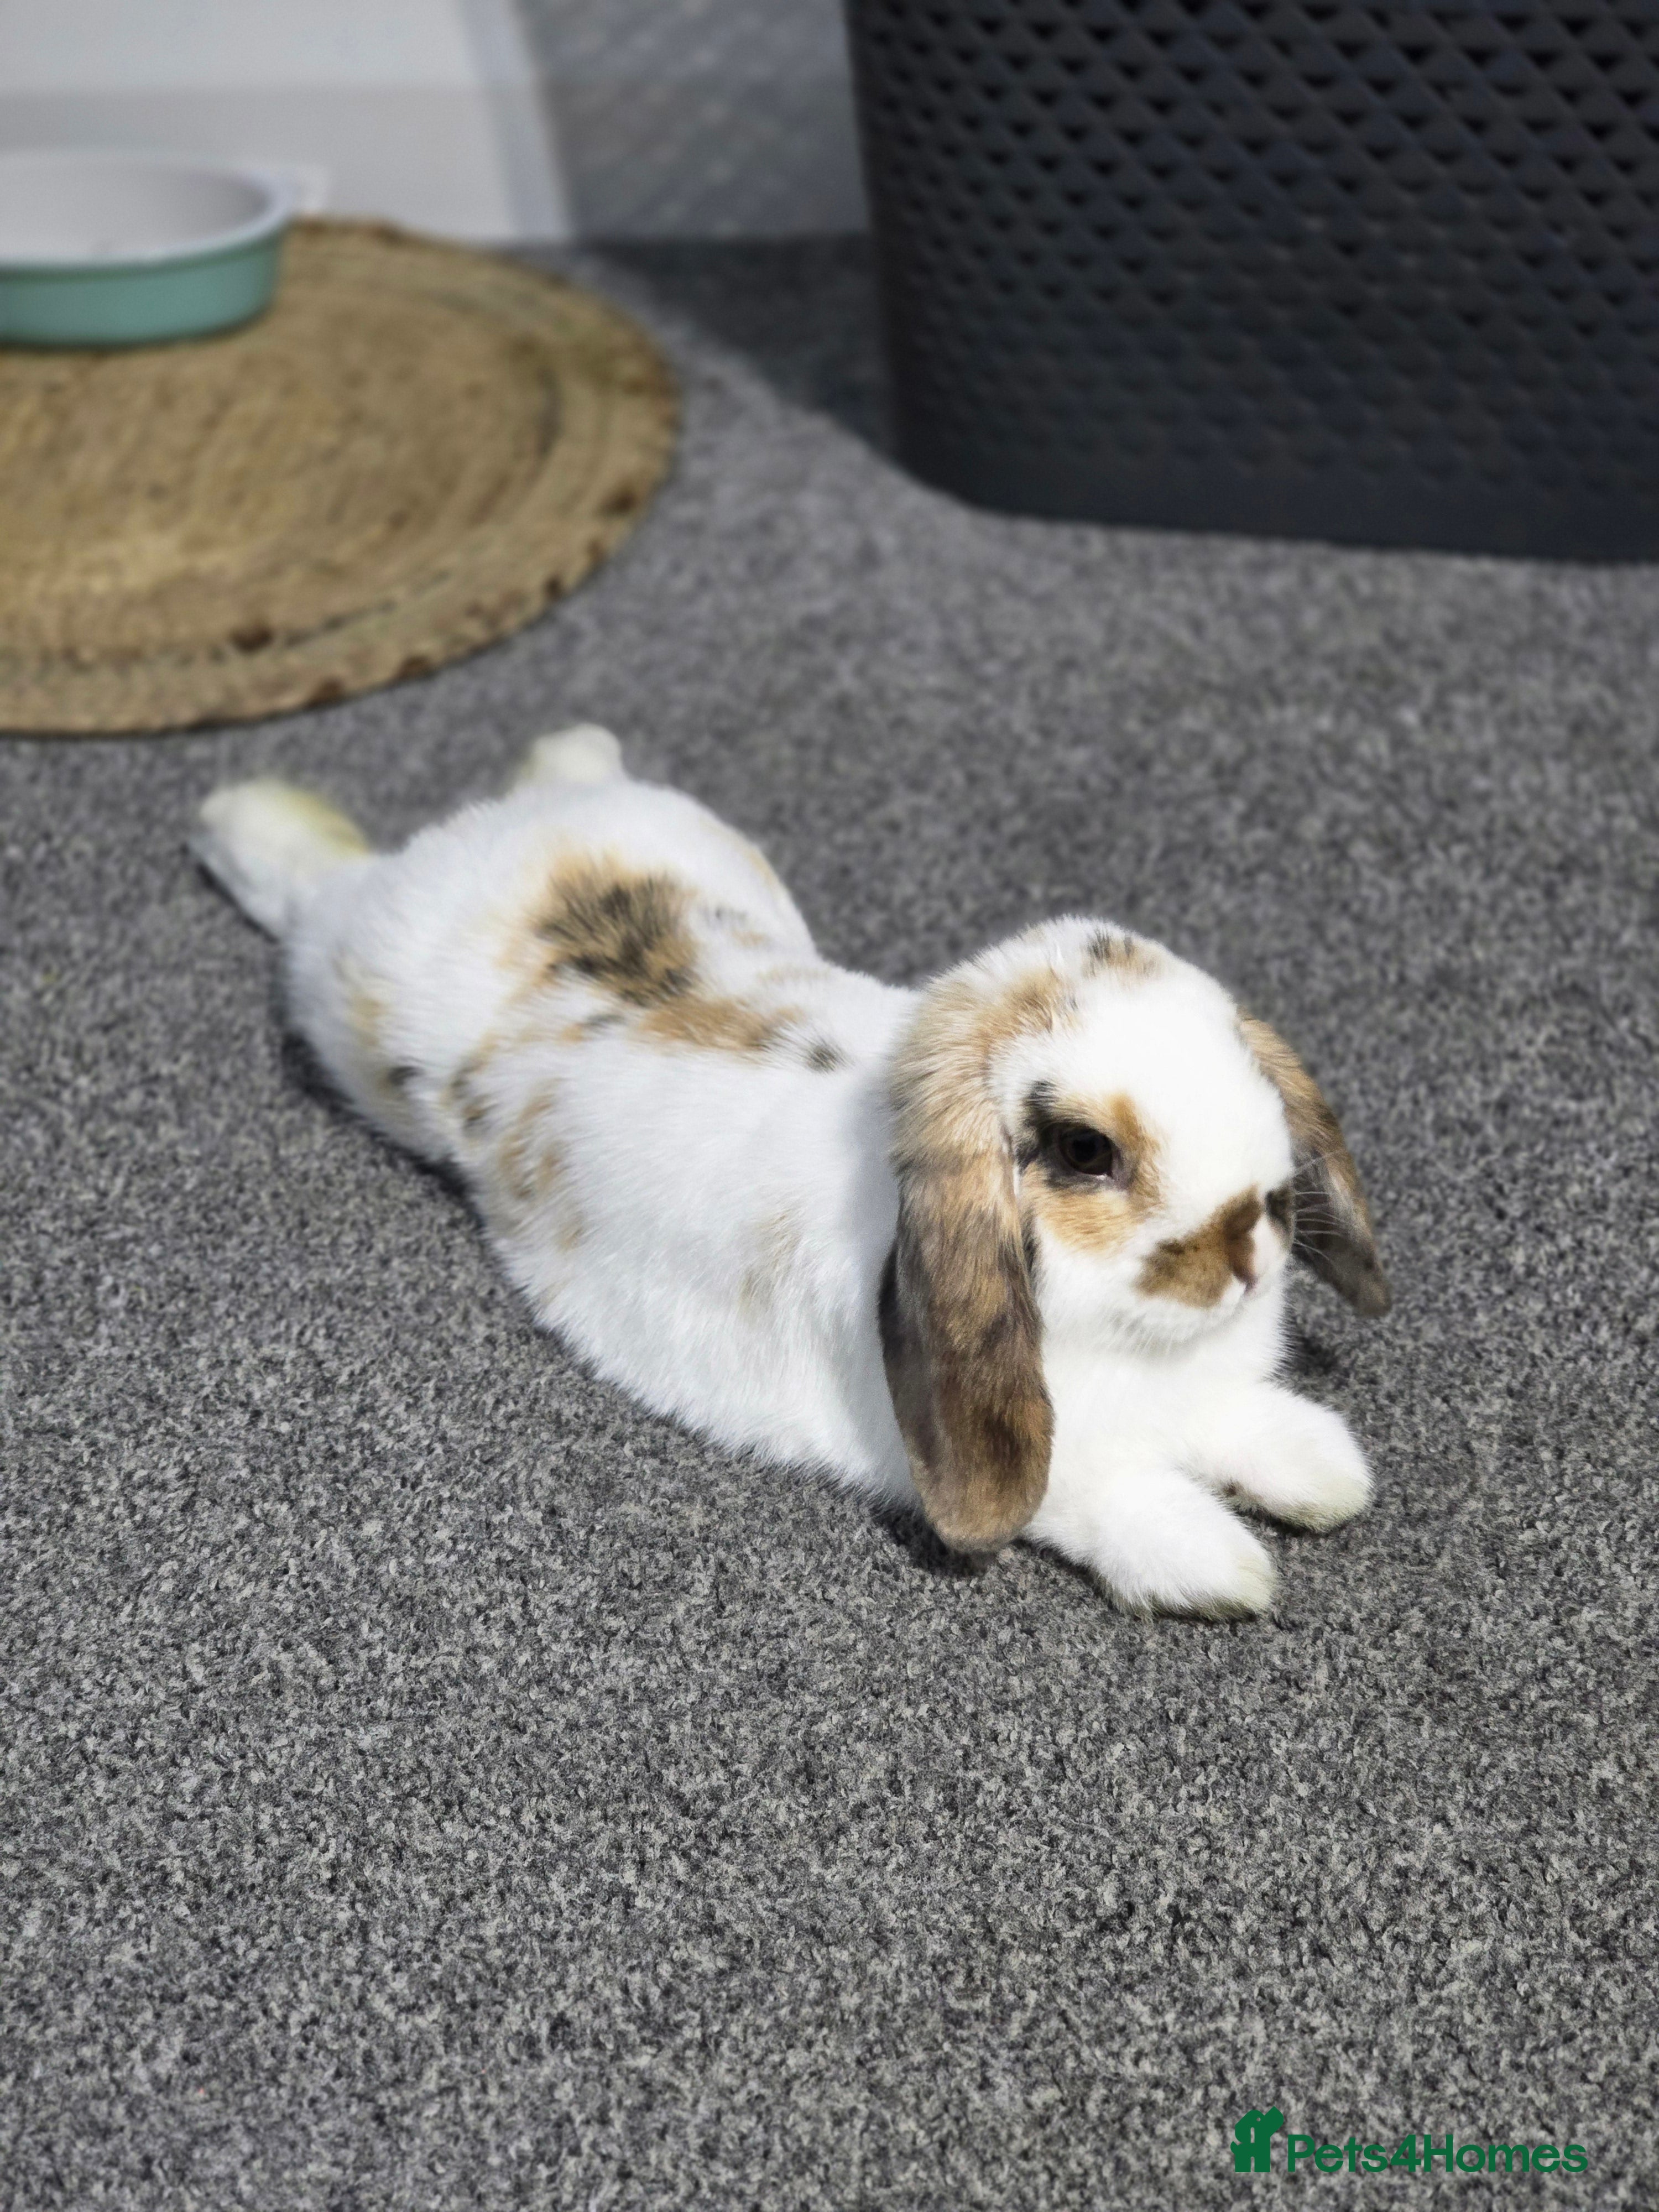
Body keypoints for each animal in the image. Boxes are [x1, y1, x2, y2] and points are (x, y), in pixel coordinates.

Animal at [192, 726, 1391, 1617]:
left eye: (1242, 1057)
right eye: (1084, 1149)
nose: (1249, 1246)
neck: (1145, 1346)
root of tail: (490, 836)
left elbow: (1248, 1424)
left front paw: (1327, 1473)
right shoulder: (1042, 1451)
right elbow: (1101, 1495)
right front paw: (1226, 1569)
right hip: (347, 992)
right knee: (308, 879)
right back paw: (237, 810)